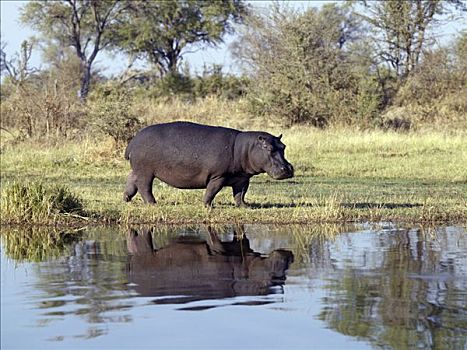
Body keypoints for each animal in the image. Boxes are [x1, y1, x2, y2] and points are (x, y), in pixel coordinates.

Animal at [124, 121, 292, 206]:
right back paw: (153, 204)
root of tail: (134, 140)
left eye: (283, 146)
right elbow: (212, 191)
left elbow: (240, 194)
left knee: (131, 180)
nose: (288, 169)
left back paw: (126, 199)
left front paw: (245, 206)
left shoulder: (243, 178)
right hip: (146, 171)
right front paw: (207, 206)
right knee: (144, 187)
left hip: (137, 169)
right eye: (268, 147)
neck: (244, 148)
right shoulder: (218, 176)